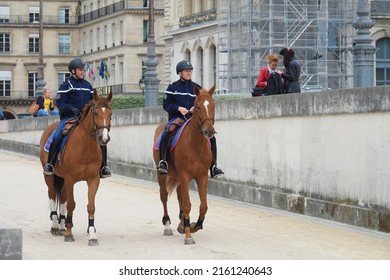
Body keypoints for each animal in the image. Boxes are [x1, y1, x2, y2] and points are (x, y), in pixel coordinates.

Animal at [38, 91, 112, 246]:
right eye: (95, 112)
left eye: (111, 113)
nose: (104, 138)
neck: (85, 146)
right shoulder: (70, 179)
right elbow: (71, 204)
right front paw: (69, 233)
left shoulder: (93, 180)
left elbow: (90, 206)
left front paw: (92, 234)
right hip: (49, 176)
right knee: (52, 195)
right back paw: (56, 225)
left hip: (62, 178)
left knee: (62, 197)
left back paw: (62, 225)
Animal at [152, 84, 216, 244]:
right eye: (198, 106)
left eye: (213, 105)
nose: (209, 131)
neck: (196, 145)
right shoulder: (185, 175)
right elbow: (187, 204)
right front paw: (188, 235)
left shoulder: (202, 177)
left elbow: (203, 206)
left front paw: (193, 226)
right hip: (162, 174)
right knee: (164, 196)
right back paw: (168, 225)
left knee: (180, 195)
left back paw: (182, 224)